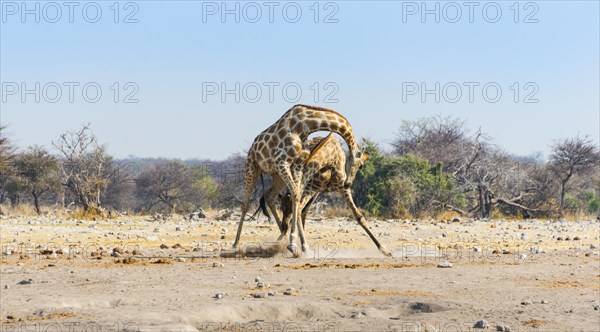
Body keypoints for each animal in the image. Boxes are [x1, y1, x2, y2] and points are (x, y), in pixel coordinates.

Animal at [262, 132, 394, 256]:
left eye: (361, 166)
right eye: (282, 209)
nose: (348, 183)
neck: (330, 160)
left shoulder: (338, 189)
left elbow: (359, 216)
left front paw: (385, 250)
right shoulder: (310, 188)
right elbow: (298, 210)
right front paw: (298, 246)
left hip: (311, 190)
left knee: (298, 208)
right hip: (290, 183)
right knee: (271, 196)